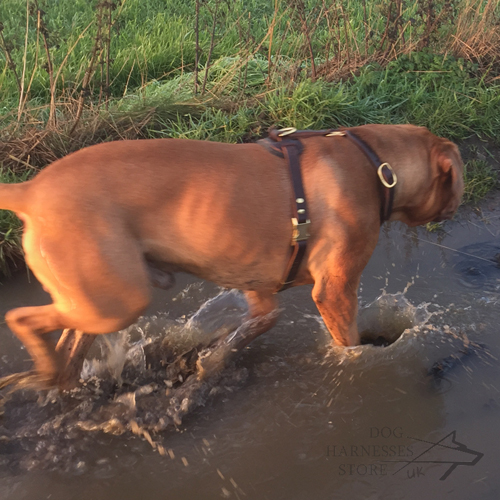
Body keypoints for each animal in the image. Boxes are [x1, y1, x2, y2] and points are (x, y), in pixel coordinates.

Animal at [0, 124, 462, 386]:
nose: (456, 204)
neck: (376, 162)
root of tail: (31, 191)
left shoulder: (258, 287)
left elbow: (256, 324)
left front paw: (213, 358)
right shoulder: (335, 290)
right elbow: (348, 343)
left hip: (94, 300)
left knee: (69, 341)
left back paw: (57, 378)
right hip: (116, 302)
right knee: (21, 318)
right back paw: (43, 369)